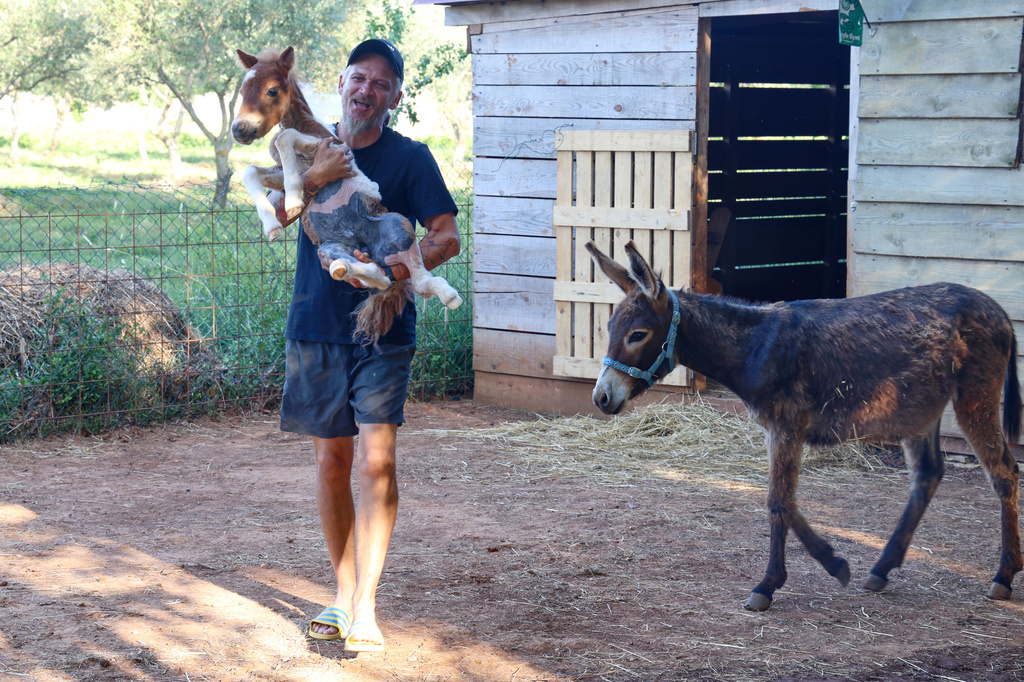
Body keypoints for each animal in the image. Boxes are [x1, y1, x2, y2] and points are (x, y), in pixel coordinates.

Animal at [229, 46, 462, 344]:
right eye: (243, 88)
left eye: (272, 90)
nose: (240, 130)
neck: (304, 123)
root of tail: (369, 250)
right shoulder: (287, 170)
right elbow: (250, 171)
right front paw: (272, 226)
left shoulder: (332, 148)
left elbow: (285, 137)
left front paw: (293, 202)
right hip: (328, 248)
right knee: (377, 275)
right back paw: (346, 269)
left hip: (396, 225)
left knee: (418, 280)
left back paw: (450, 296)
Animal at [587, 240, 1022, 612]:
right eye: (607, 330)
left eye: (638, 335)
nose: (601, 398)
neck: (754, 348)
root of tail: (998, 310)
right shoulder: (779, 430)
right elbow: (786, 499)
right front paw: (835, 563)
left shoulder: (786, 425)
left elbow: (777, 501)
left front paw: (766, 586)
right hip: (922, 408)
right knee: (927, 476)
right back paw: (882, 569)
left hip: (974, 398)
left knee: (1004, 472)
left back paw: (1003, 576)